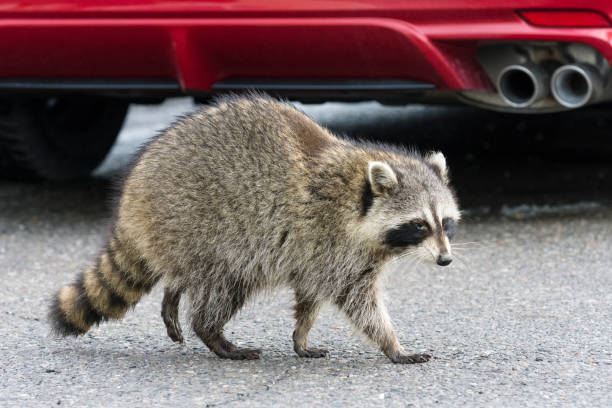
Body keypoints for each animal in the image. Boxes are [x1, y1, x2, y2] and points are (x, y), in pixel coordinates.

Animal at [49, 95, 460, 364]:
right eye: (419, 225)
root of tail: (132, 197)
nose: (445, 260)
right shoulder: (333, 244)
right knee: (222, 287)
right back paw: (213, 335)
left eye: (446, 223)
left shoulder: (318, 253)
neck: (358, 193)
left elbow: (309, 296)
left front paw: (301, 335)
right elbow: (358, 302)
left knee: (187, 274)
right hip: (203, 226)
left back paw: (174, 295)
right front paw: (393, 345)